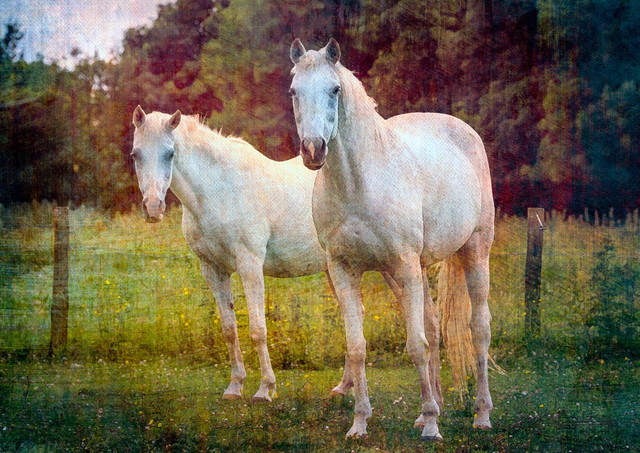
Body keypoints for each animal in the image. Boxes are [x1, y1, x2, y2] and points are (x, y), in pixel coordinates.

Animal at [288, 39, 495, 441]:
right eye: (293, 91)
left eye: (334, 90)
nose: (313, 150)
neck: (359, 183)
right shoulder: (344, 271)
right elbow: (357, 348)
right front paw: (359, 422)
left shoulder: (405, 263)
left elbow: (416, 346)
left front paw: (431, 426)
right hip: (405, 273)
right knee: (433, 324)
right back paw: (434, 407)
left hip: (473, 253)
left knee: (478, 329)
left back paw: (481, 414)